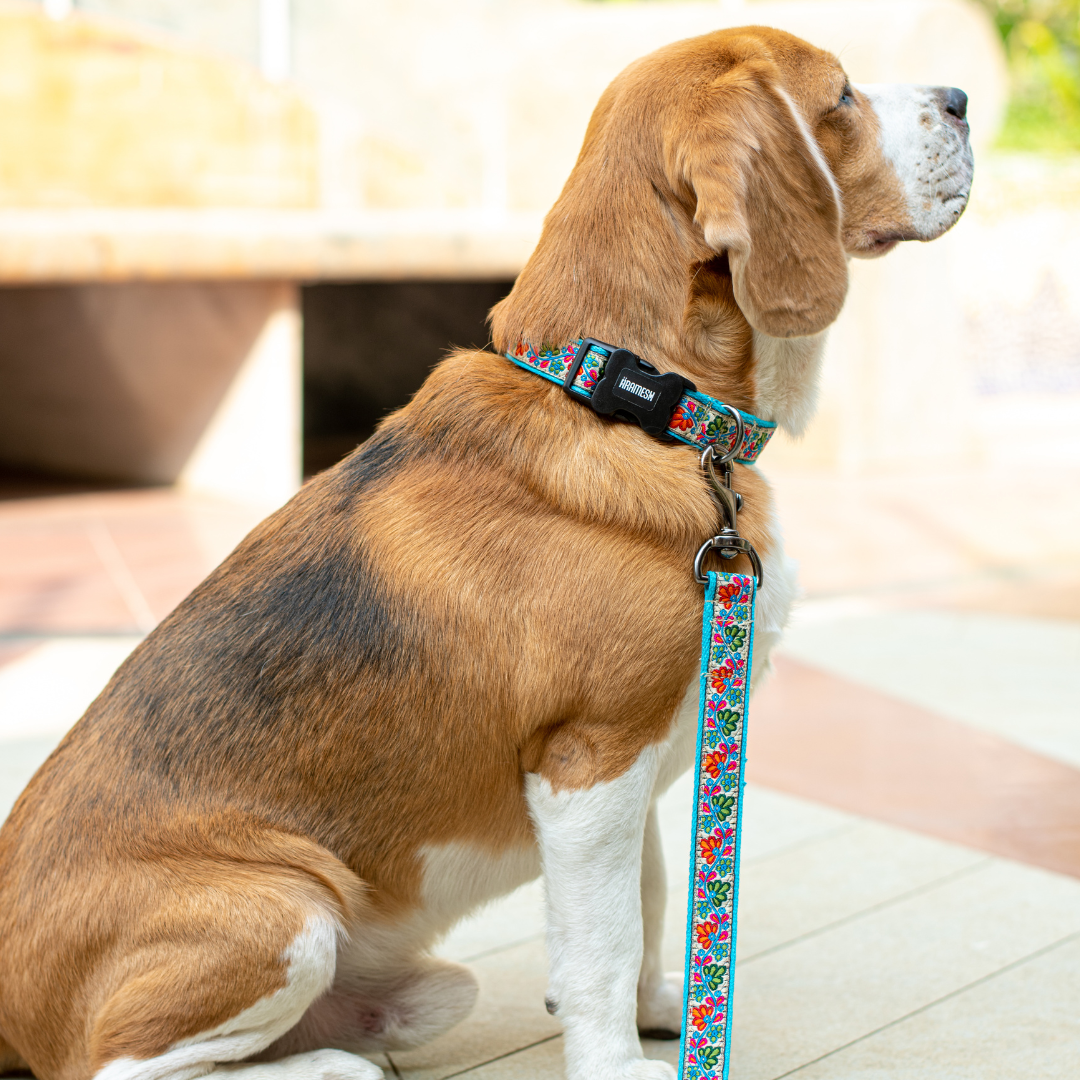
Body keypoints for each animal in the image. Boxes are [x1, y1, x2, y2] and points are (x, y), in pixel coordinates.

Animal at [0, 23, 972, 1080]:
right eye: (840, 96)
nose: (964, 100)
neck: (634, 403)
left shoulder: (634, 765)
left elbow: (649, 900)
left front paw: (666, 1013)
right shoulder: (592, 760)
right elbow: (605, 941)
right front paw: (617, 1061)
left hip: (415, 978)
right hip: (284, 906)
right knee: (116, 1067)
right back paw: (332, 1066)